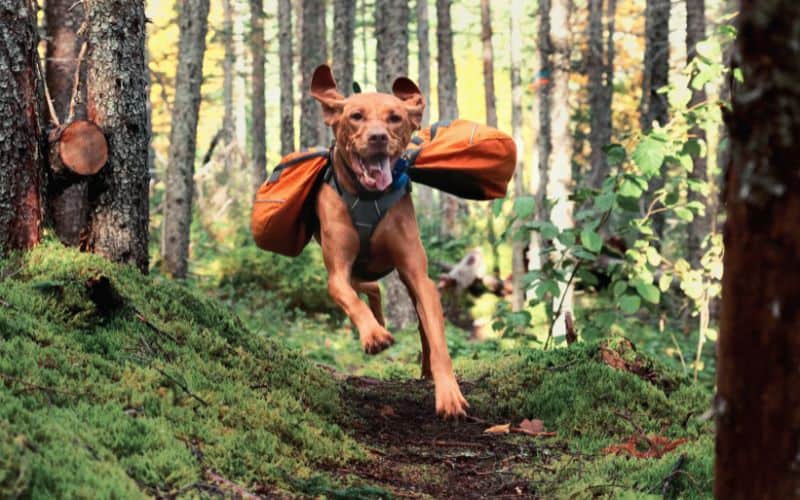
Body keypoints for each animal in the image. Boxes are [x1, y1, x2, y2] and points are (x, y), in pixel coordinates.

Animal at [310, 65, 466, 418]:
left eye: (395, 118)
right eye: (355, 116)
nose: (378, 137)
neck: (368, 196)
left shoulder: (418, 275)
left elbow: (437, 338)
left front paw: (449, 393)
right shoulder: (337, 271)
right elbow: (347, 297)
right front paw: (373, 335)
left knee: (416, 319)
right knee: (368, 288)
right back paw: (377, 324)